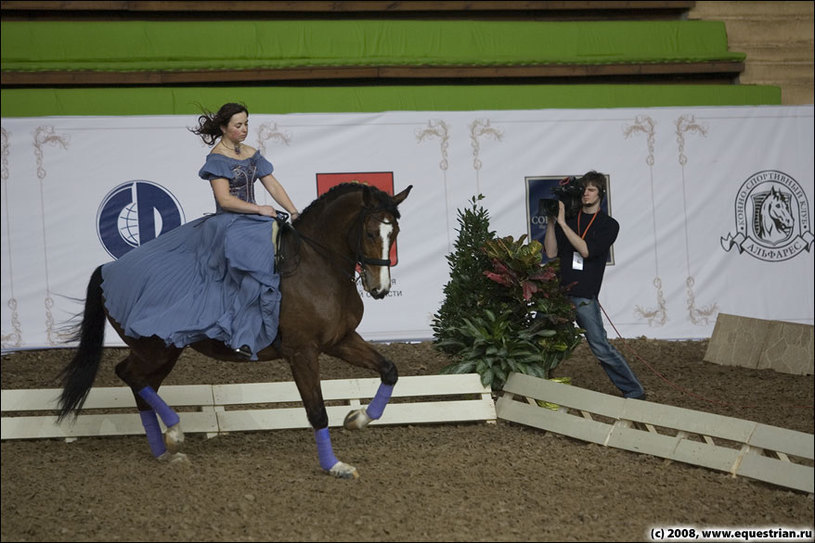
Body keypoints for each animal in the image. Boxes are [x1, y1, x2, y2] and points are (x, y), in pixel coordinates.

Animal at [59, 184, 414, 480]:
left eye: (395, 232)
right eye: (370, 232)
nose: (380, 289)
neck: (318, 266)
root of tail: (107, 270)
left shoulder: (339, 340)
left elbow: (389, 370)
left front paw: (358, 418)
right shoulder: (302, 352)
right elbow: (317, 412)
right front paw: (334, 466)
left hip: (164, 351)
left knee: (140, 383)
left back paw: (165, 452)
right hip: (155, 348)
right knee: (131, 375)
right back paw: (174, 432)